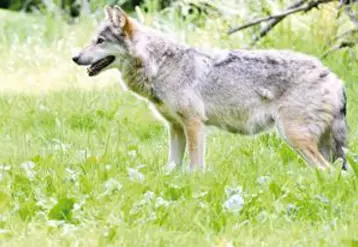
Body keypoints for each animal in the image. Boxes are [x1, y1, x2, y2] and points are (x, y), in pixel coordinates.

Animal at [71, 6, 348, 172]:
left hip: (294, 136)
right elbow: (172, 166)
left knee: (328, 171)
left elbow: (195, 165)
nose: (74, 57)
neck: (160, 66)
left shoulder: (194, 123)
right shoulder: (175, 128)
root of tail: (334, 77)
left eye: (100, 41)